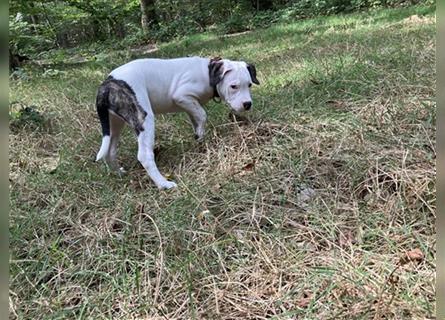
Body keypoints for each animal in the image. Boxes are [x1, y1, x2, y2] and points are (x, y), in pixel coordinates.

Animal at [95, 56, 258, 189]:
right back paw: (163, 184)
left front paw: (199, 138)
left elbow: (196, 119)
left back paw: (118, 173)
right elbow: (202, 115)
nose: (247, 104)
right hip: (144, 118)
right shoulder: (182, 96)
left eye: (249, 85)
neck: (208, 72)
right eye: (233, 86)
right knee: (144, 156)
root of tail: (106, 85)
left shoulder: (189, 104)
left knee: (110, 151)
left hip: (114, 124)